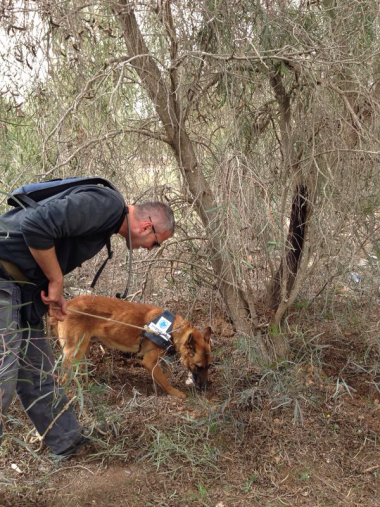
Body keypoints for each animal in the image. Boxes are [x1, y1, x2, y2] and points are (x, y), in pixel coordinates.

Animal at [55, 296, 212, 398]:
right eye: (198, 366)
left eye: (208, 366)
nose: (205, 387)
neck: (172, 329)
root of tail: (67, 304)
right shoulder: (149, 361)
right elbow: (165, 381)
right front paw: (175, 393)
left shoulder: (158, 358)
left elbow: (167, 371)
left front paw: (159, 380)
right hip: (73, 353)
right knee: (62, 379)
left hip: (83, 350)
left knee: (79, 370)